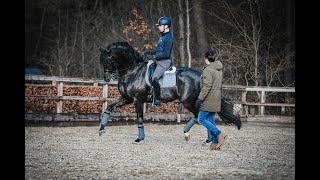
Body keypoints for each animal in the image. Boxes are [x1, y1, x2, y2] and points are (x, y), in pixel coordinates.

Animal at [99, 41, 241, 143]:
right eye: (102, 61)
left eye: (109, 60)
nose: (106, 78)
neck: (132, 71)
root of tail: (201, 76)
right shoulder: (126, 99)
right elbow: (109, 107)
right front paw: (101, 129)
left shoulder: (137, 100)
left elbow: (139, 118)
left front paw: (139, 138)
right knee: (203, 116)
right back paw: (208, 139)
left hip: (189, 102)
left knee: (199, 116)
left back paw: (189, 134)